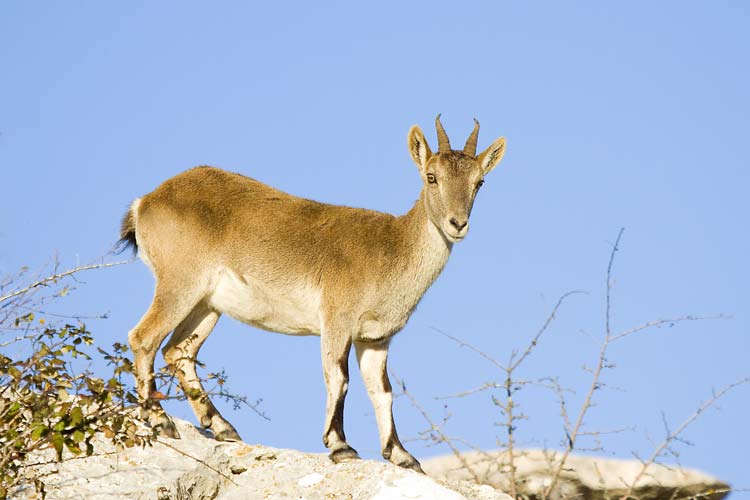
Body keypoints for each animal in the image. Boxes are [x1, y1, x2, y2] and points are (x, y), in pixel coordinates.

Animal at [120, 115, 508, 470]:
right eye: (431, 176)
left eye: (479, 182)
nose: (457, 224)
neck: (391, 248)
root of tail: (146, 202)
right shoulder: (337, 320)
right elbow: (339, 378)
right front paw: (340, 445)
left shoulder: (375, 339)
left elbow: (382, 392)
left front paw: (401, 455)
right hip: (179, 283)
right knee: (144, 338)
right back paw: (159, 419)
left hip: (207, 305)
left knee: (178, 351)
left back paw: (222, 426)